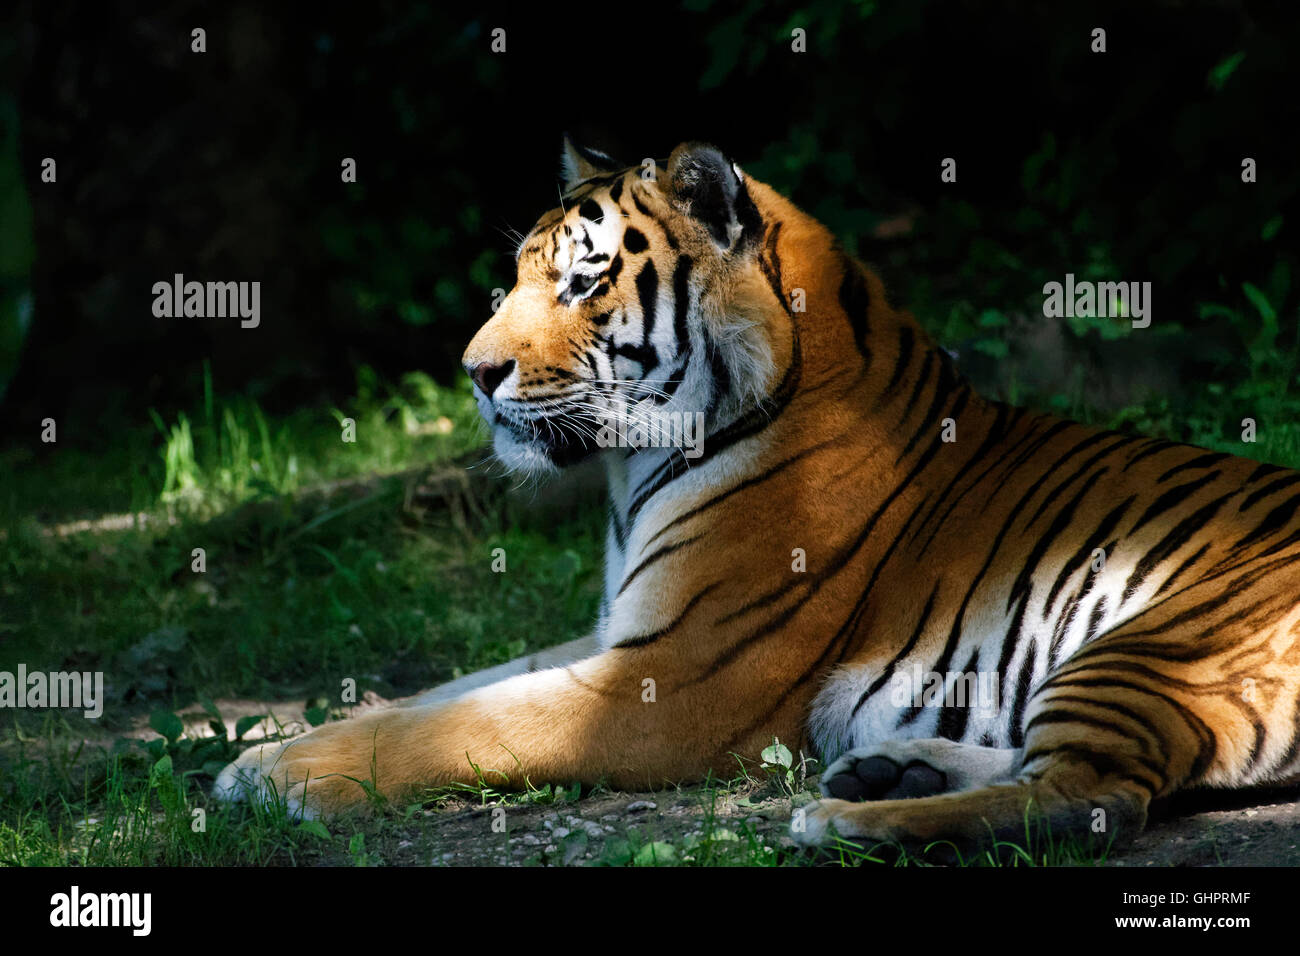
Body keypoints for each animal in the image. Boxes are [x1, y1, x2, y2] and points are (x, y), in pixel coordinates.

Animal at [218, 136, 1300, 858]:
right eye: (518, 277)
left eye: (581, 284)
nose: (475, 374)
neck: (629, 472)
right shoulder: (619, 632)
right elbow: (444, 689)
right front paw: (270, 736)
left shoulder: (674, 675)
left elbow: (462, 721)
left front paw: (270, 774)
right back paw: (888, 769)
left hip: (1160, 634)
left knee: (1096, 792)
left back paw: (845, 819)